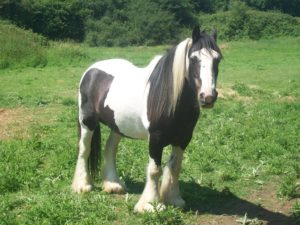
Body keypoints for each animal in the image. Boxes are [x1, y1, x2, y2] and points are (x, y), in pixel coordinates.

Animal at [72, 26, 223, 213]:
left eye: (218, 59)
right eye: (194, 58)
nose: (207, 97)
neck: (169, 97)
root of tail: (91, 70)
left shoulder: (183, 138)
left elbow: (175, 168)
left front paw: (173, 199)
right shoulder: (156, 139)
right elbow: (154, 170)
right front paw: (150, 204)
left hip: (117, 126)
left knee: (110, 149)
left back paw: (113, 184)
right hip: (87, 122)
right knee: (84, 150)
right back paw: (82, 186)